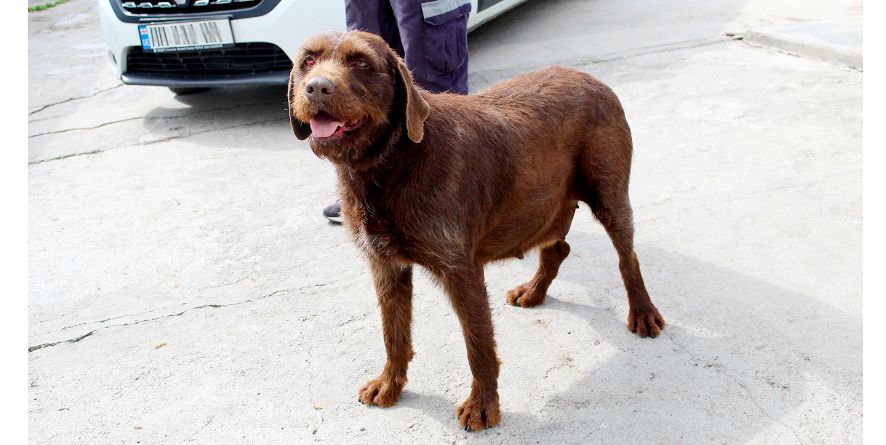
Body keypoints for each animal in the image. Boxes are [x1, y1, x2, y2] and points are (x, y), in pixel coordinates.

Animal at [290, 31, 664, 430]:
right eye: (308, 61)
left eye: (360, 62)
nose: (317, 87)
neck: (391, 167)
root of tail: (591, 78)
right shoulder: (386, 266)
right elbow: (394, 334)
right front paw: (390, 384)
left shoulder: (461, 271)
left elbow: (478, 345)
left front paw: (483, 405)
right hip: (546, 201)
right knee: (557, 248)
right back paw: (534, 290)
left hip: (609, 197)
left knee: (628, 258)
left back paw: (642, 312)